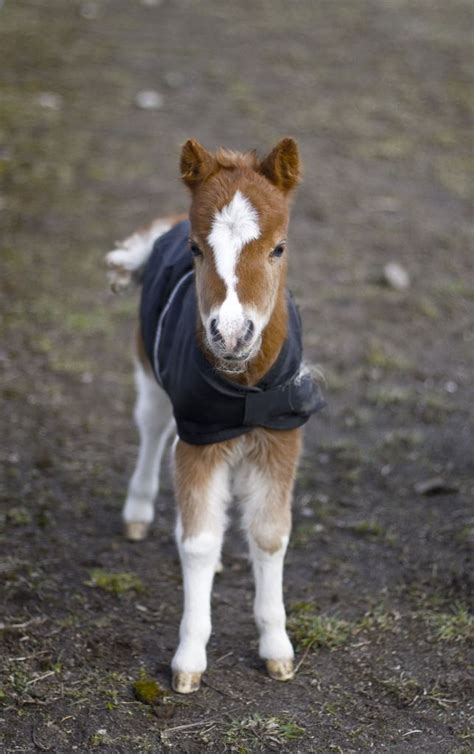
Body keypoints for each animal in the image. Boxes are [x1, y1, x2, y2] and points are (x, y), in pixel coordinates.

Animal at [106, 138, 324, 692]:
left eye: (279, 248)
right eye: (196, 250)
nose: (229, 334)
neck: (244, 386)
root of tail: (164, 222)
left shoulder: (279, 437)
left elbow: (269, 535)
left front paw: (277, 650)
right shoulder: (201, 437)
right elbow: (199, 542)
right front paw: (188, 661)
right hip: (150, 369)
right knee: (152, 426)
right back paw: (137, 513)